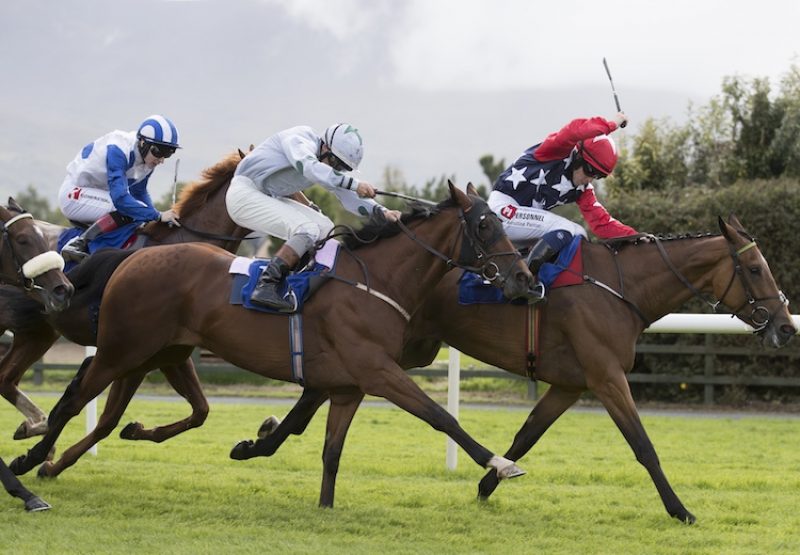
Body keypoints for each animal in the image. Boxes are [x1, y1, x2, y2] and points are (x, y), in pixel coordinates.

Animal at [9, 184, 536, 508]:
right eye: (485, 226)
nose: (523, 277)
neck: (378, 281)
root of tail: (132, 259)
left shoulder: (347, 385)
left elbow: (327, 448)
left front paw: (321, 502)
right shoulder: (378, 371)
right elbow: (441, 416)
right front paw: (501, 464)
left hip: (161, 353)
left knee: (117, 412)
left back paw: (65, 453)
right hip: (122, 350)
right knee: (73, 401)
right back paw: (31, 458)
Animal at [223, 215, 792, 524]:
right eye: (756, 268)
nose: (787, 327)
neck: (620, 288)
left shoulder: (569, 384)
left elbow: (526, 435)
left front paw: (487, 482)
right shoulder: (607, 377)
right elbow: (643, 446)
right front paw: (681, 510)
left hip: (398, 350)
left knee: (317, 393)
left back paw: (259, 442)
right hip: (391, 350)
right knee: (318, 391)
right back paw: (262, 442)